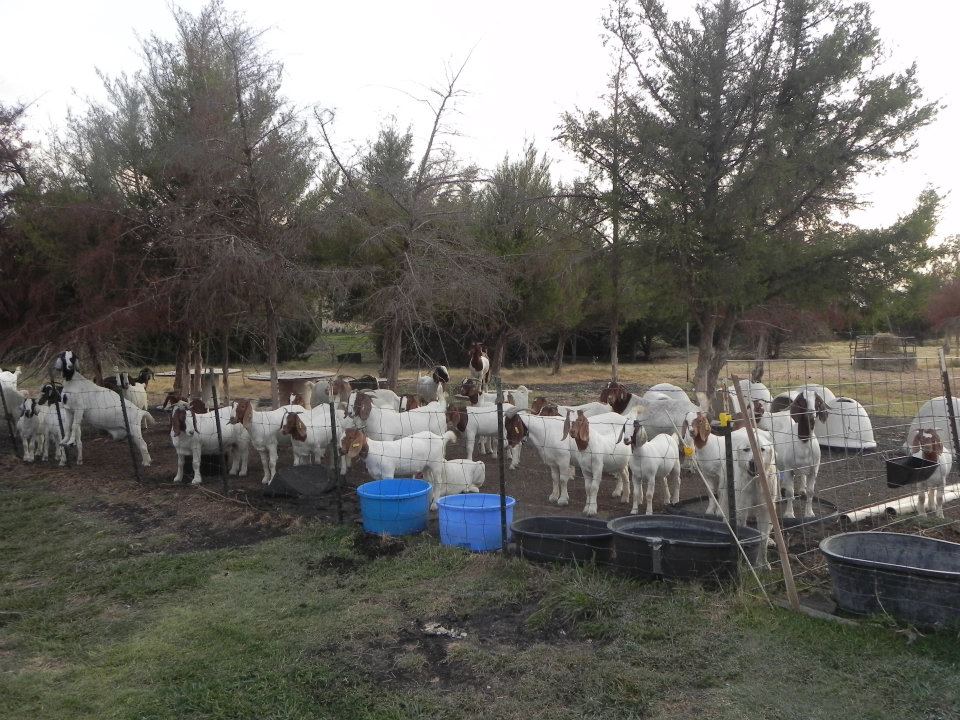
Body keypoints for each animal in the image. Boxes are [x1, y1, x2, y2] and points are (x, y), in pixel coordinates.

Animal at [759, 389, 826, 518]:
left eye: (817, 402)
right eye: (802, 401)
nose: (811, 414)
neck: (803, 443)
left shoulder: (814, 469)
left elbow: (811, 492)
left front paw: (809, 513)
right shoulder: (789, 468)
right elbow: (790, 492)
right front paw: (789, 514)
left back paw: (801, 490)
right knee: (777, 475)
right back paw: (779, 498)